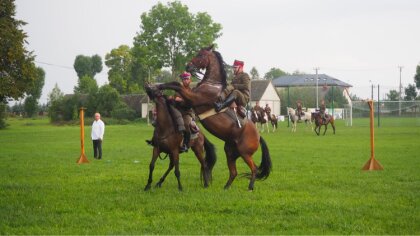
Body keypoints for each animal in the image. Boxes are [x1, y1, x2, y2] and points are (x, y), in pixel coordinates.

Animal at [158, 45, 272, 191]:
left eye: (200, 55)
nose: (188, 66)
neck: (212, 84)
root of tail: (258, 136)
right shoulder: (188, 102)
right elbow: (177, 97)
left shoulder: (193, 98)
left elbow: (176, 85)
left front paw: (158, 86)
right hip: (230, 152)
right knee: (233, 172)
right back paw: (226, 188)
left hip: (245, 153)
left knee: (254, 168)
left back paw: (250, 187)